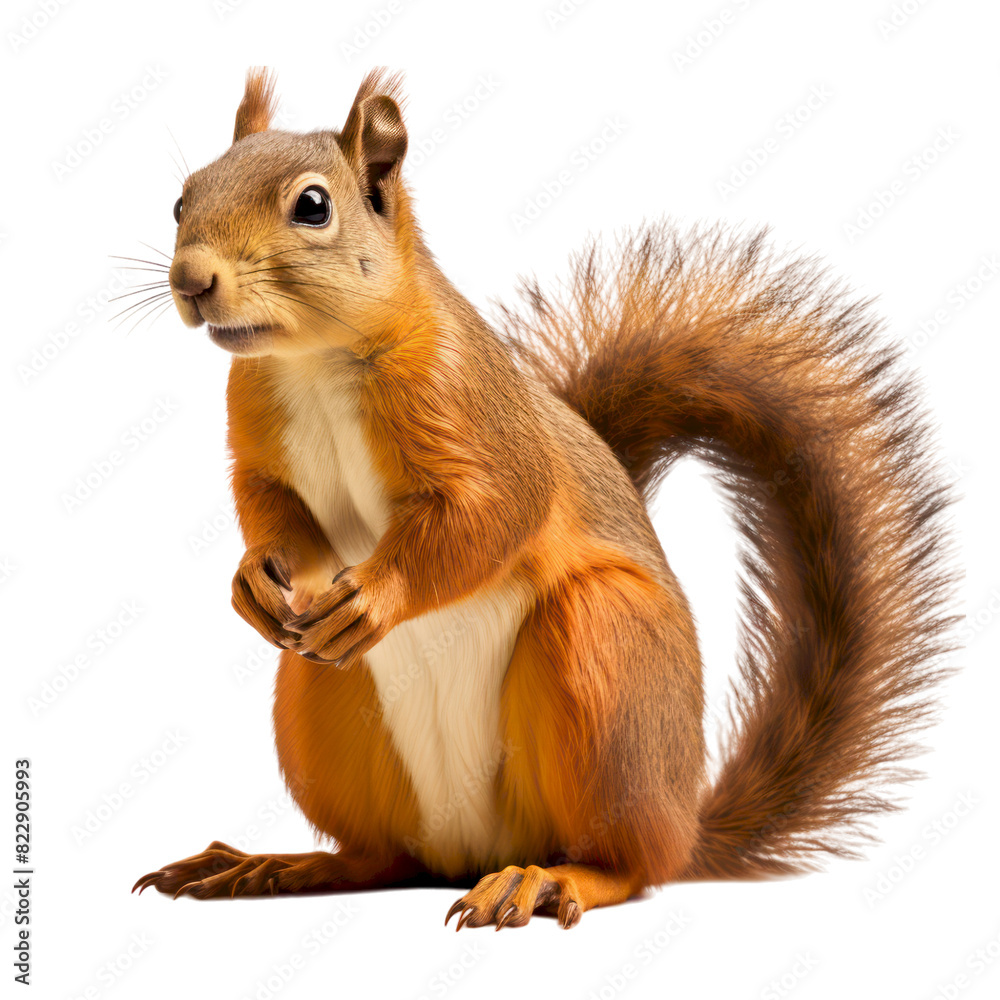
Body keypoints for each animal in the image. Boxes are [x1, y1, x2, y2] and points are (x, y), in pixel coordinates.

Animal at [133, 67, 956, 930]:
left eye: (313, 206)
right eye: (182, 201)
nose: (191, 280)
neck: (313, 363)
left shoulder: (478, 416)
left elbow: (495, 514)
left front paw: (379, 597)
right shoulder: (262, 446)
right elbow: (274, 512)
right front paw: (252, 580)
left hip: (606, 656)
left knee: (630, 863)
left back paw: (550, 880)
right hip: (319, 702)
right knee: (377, 857)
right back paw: (276, 866)